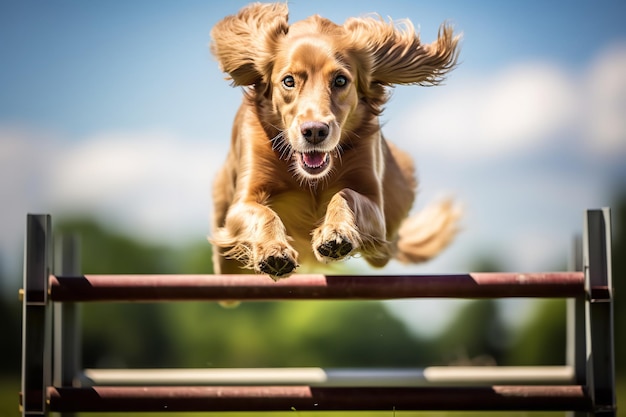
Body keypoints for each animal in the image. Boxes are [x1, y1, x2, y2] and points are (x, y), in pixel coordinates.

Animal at [210, 3, 458, 280]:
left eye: (340, 80)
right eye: (288, 81)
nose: (314, 131)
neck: (311, 180)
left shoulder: (375, 207)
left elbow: (346, 194)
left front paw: (335, 234)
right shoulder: (244, 200)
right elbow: (263, 212)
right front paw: (274, 251)